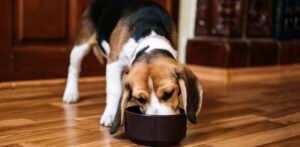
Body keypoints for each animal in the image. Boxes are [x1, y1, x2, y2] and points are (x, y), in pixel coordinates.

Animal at [63, 0, 204, 134]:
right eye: (140, 99)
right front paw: (110, 114)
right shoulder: (114, 63)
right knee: (73, 68)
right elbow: (114, 90)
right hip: (81, 46)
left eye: (168, 94)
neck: (149, 36)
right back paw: (71, 93)